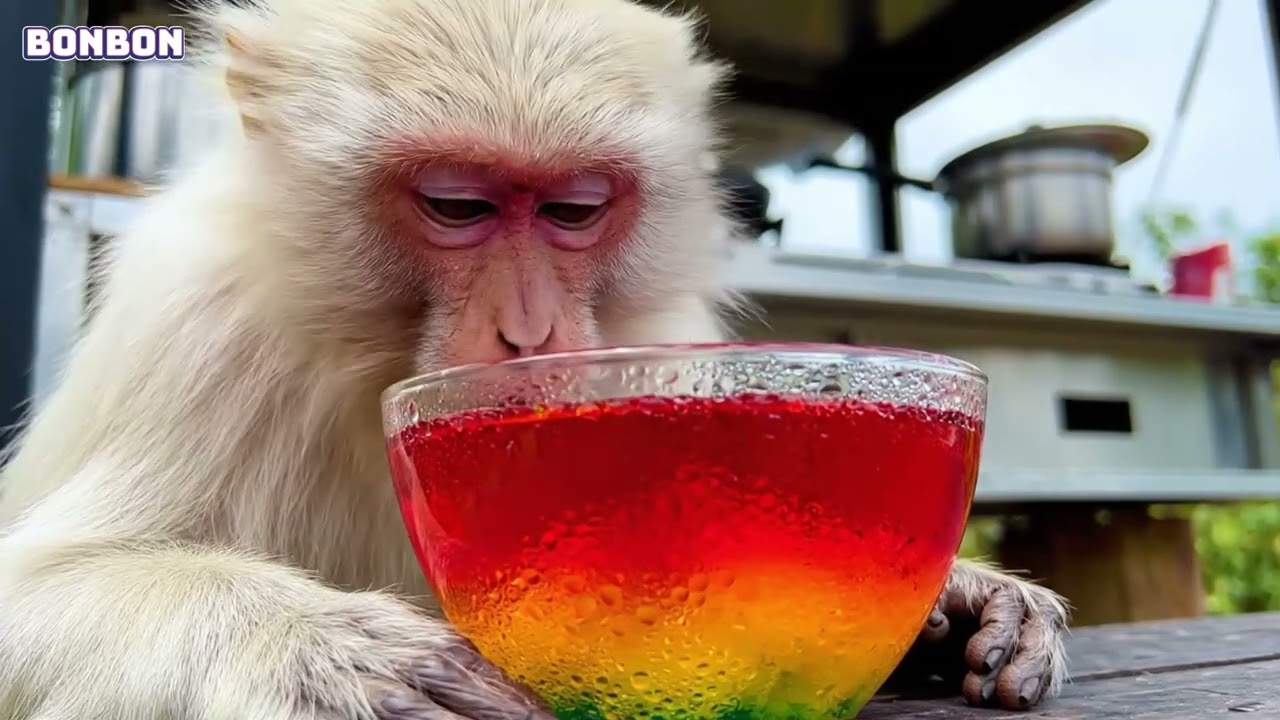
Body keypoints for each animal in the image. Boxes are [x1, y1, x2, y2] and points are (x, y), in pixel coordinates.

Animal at [0, 0, 1068, 717]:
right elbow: (33, 594)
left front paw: (957, 595)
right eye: (458, 206)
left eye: (574, 209)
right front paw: (331, 653)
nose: (528, 333)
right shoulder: (197, 317)